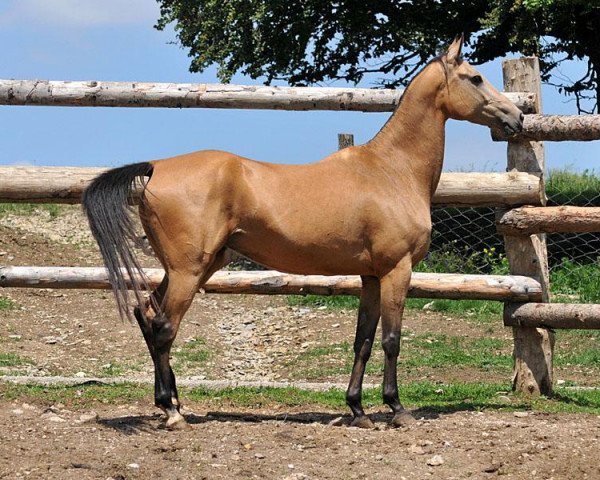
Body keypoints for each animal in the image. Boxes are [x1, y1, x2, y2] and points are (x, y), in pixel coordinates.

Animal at [82, 35, 524, 430]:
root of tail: (156, 166)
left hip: (193, 267)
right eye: (475, 78)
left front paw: (358, 410)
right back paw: (172, 412)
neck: (391, 171)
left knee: (146, 314)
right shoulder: (396, 270)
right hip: (188, 271)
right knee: (163, 328)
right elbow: (392, 340)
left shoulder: (370, 276)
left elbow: (363, 340)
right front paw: (397, 409)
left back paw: (172, 402)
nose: (516, 118)